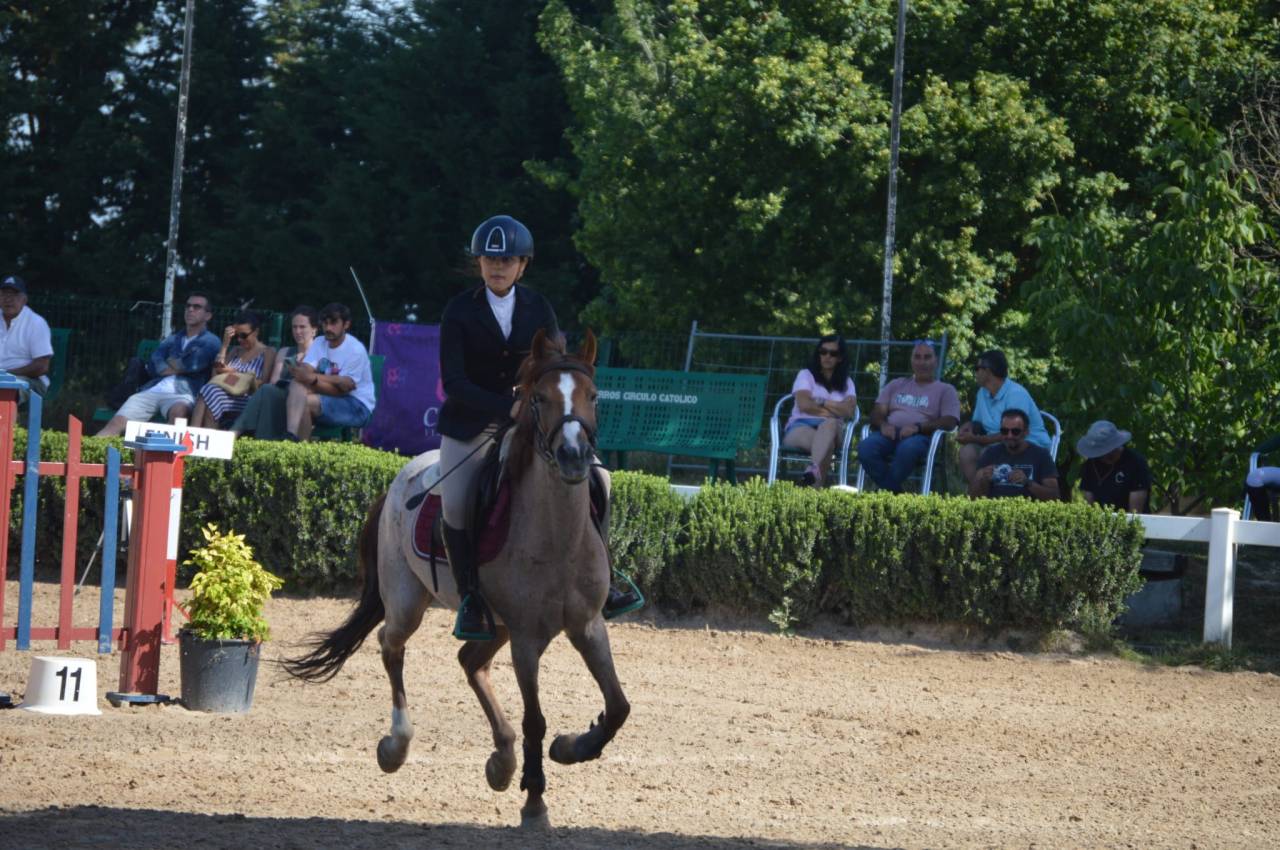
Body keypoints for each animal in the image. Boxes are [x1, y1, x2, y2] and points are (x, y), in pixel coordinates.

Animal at [281, 329, 629, 829]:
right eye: (539, 398)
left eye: (594, 396)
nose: (574, 456)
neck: (557, 535)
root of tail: (399, 476)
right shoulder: (527, 637)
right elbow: (536, 720)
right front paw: (535, 802)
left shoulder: (587, 625)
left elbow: (618, 705)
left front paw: (570, 748)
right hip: (409, 602)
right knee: (391, 645)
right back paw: (397, 745)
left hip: (492, 623)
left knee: (470, 660)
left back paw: (502, 760)